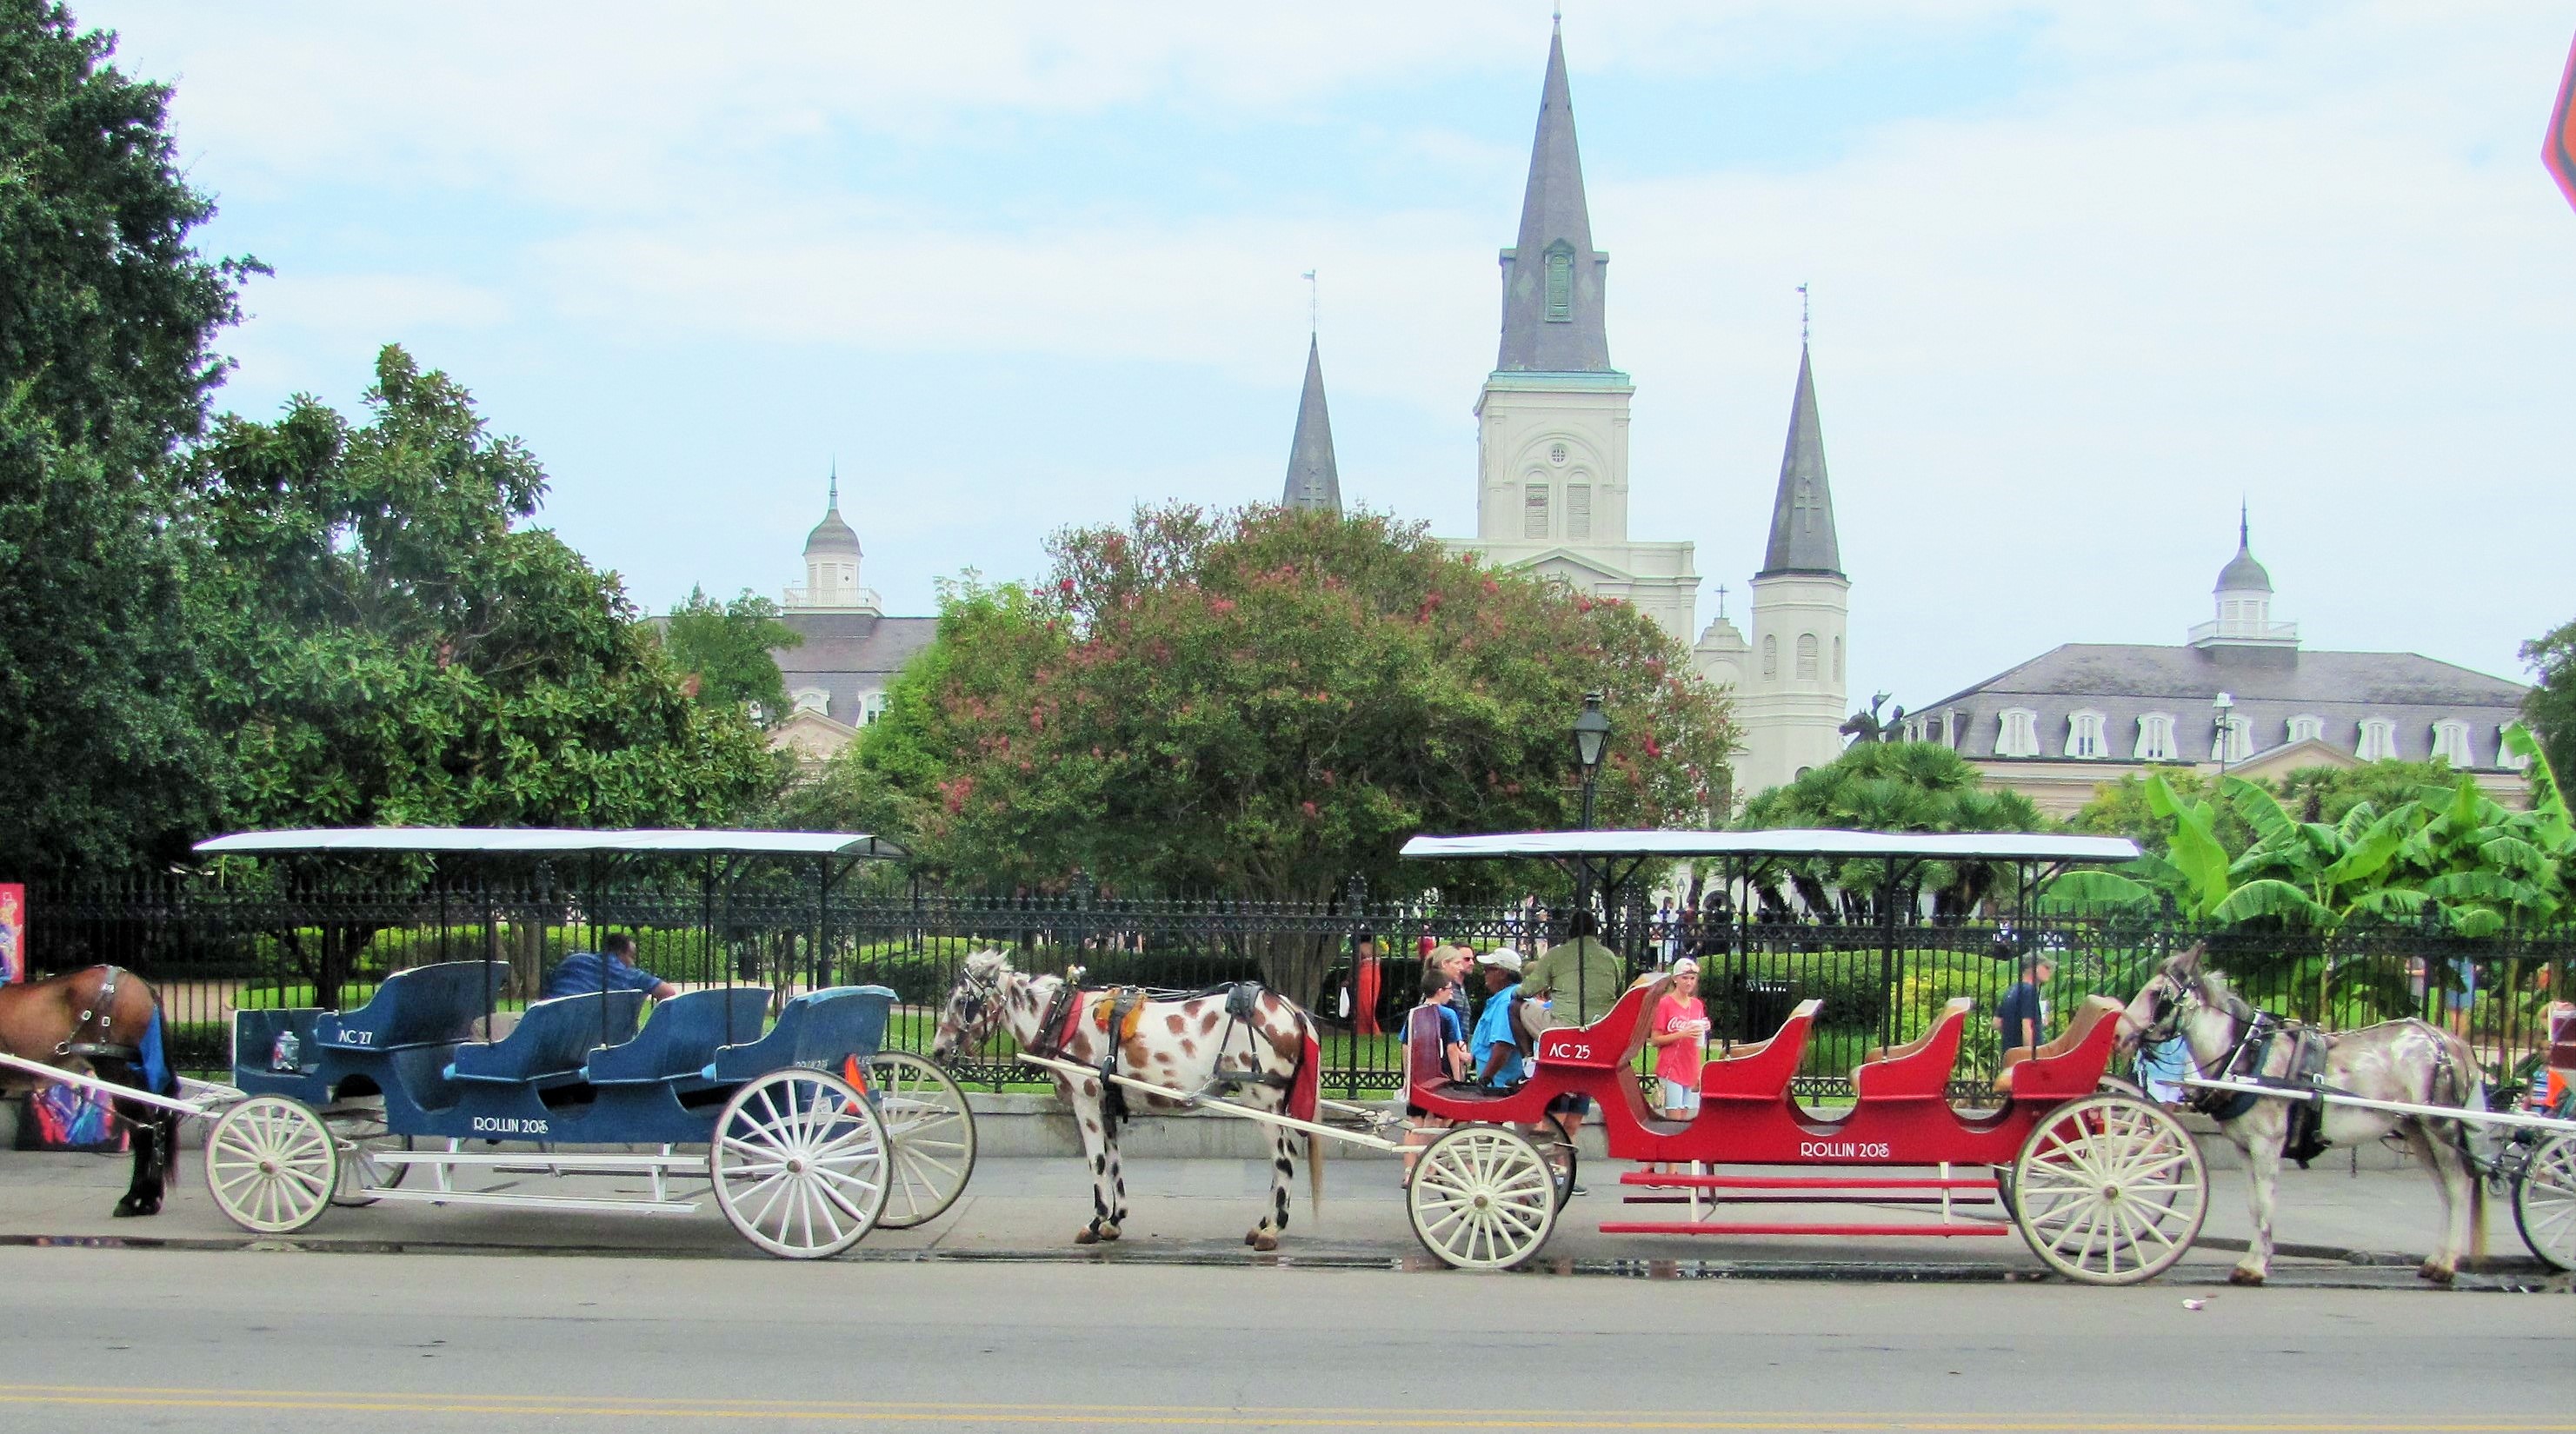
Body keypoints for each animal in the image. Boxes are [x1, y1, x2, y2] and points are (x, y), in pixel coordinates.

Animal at [0, 967, 181, 1215]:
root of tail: (144, 987)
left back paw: (135, 1200)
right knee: (156, 1127)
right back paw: (149, 1198)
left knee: (143, 1130)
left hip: (116, 1072)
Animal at [932, 953, 1328, 1240]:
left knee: (1284, 1160)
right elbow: (1114, 1161)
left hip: (1262, 1100)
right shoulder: (1107, 1104)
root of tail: (1292, 1010)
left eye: (962, 1000)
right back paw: (1264, 1222)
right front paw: (1114, 1219)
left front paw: (1094, 1222)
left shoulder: (1086, 1101)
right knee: (1280, 1161)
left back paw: (1272, 1227)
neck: (1062, 1016)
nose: (937, 1050)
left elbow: (1096, 1162)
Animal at [2112, 937, 2493, 1287]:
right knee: (2444, 1191)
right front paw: (2254, 1258)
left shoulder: (2266, 1144)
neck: (2247, 1055)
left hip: (2441, 1126)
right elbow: (2255, 1204)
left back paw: (2446, 1265)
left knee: (2457, 1187)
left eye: (2155, 994)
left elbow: (2266, 1202)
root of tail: (2450, 1040)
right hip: (2417, 1129)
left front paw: (2255, 1266)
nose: (2118, 1033)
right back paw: (2436, 1260)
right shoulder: (2245, 1148)